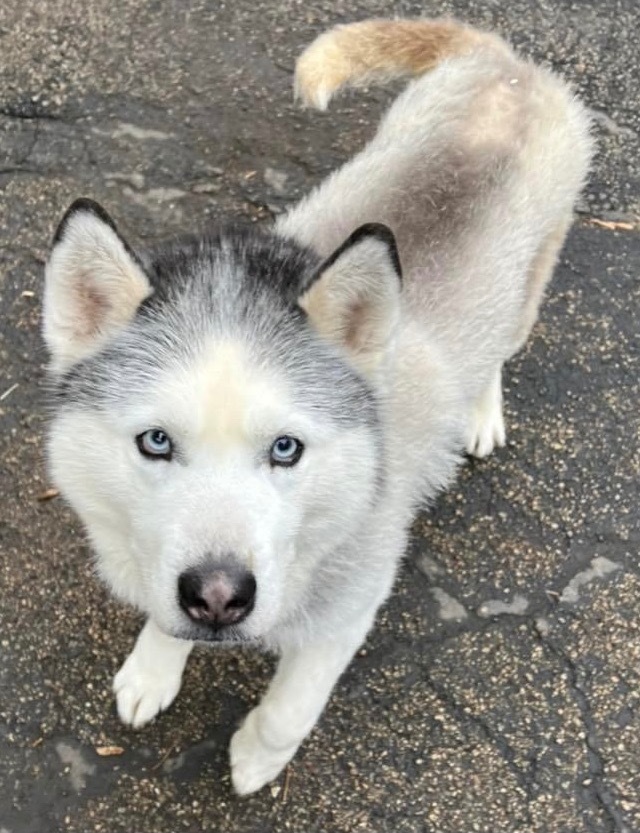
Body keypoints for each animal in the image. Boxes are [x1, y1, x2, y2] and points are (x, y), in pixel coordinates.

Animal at [42, 16, 592, 788]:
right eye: (155, 440)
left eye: (286, 448)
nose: (218, 596)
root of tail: (508, 63)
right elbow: (161, 615)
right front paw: (154, 667)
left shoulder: (350, 608)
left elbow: (288, 710)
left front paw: (254, 757)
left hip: (525, 292)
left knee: (499, 350)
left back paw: (481, 413)